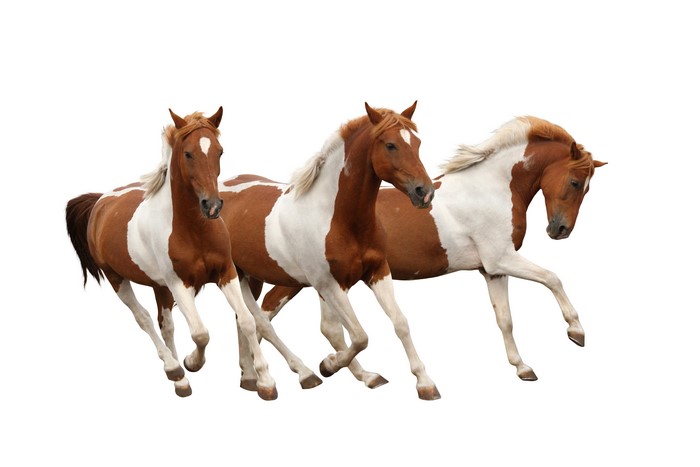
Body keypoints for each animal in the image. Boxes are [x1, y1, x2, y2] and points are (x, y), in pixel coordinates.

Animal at [65, 107, 278, 400]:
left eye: (220, 151)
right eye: (188, 153)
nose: (212, 206)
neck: (194, 229)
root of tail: (100, 201)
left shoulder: (226, 273)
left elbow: (247, 321)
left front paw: (265, 382)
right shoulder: (179, 284)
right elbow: (200, 333)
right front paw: (191, 362)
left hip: (159, 286)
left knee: (165, 324)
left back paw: (180, 382)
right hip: (117, 278)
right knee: (143, 318)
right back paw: (174, 368)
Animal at [219, 102, 442, 400]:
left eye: (417, 143)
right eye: (391, 145)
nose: (424, 193)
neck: (338, 218)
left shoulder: (377, 272)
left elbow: (400, 323)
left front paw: (424, 383)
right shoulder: (328, 283)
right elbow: (356, 335)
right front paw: (329, 365)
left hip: (249, 276)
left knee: (247, 320)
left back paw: (251, 377)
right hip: (237, 275)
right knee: (258, 321)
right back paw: (293, 376)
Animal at [260, 116, 607, 383]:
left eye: (588, 188)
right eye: (576, 182)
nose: (560, 230)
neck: (490, 189)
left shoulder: (491, 270)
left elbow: (505, 319)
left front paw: (522, 368)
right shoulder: (502, 258)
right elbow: (552, 278)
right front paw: (576, 332)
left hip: (316, 283)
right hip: (307, 280)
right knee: (266, 315)